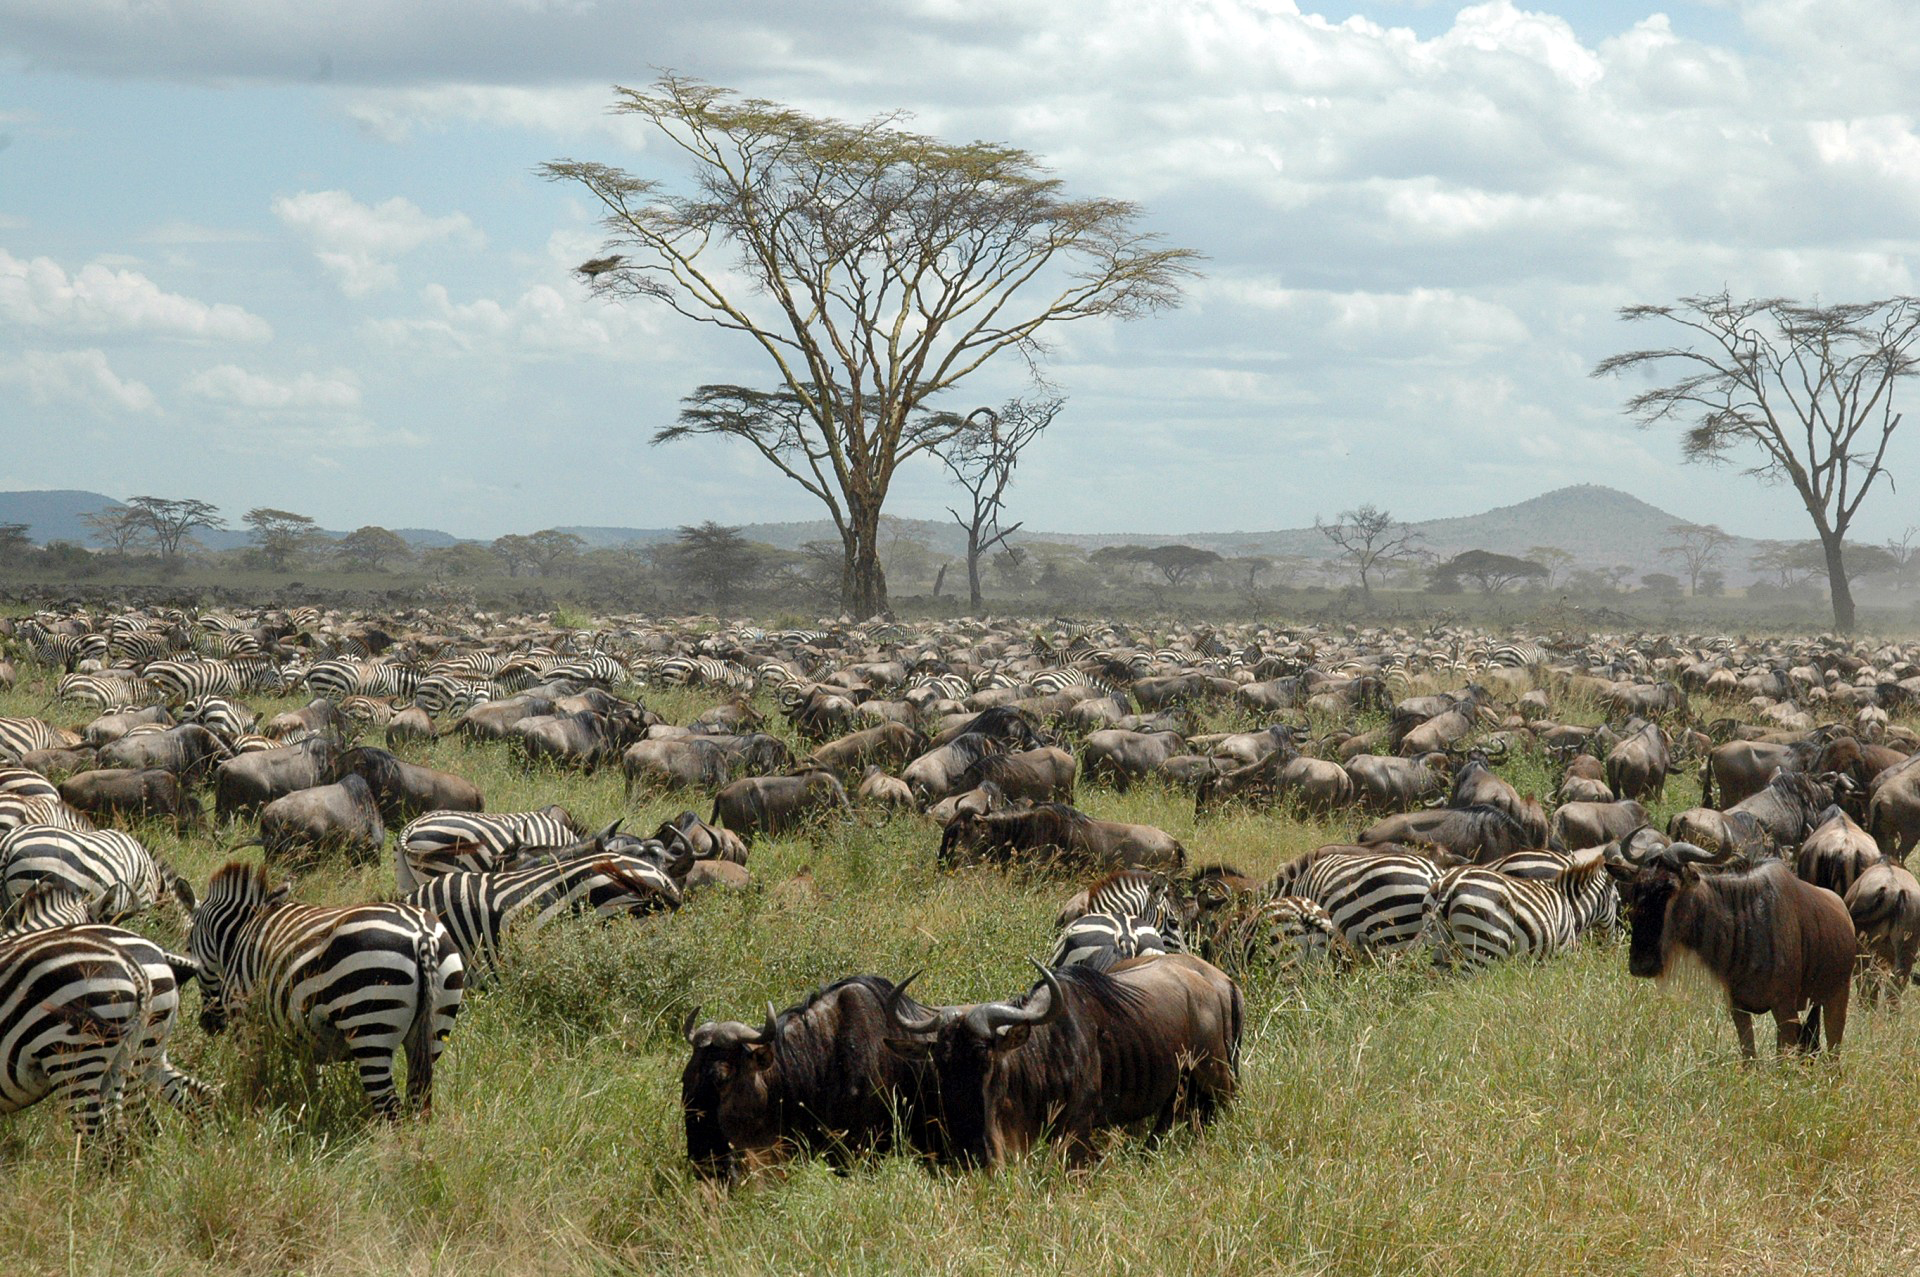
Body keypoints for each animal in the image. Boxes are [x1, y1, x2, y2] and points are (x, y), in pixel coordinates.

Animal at [189, 856, 466, 1113]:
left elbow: (255, 1076)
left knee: (390, 1109)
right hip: (435, 1027)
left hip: (369, 1024)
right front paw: (309, 1114)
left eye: (189, 950)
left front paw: (252, 1114)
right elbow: (312, 1082)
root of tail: (423, 936)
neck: (242, 932)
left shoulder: (245, 1018)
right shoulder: (306, 1039)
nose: (208, 1025)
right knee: (418, 1102)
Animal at [1428, 844, 1620, 967]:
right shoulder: (1562, 952)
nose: (1610, 945)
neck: (1570, 905)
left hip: (1440, 944)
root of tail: (1452, 882)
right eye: (1617, 900)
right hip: (1484, 947)